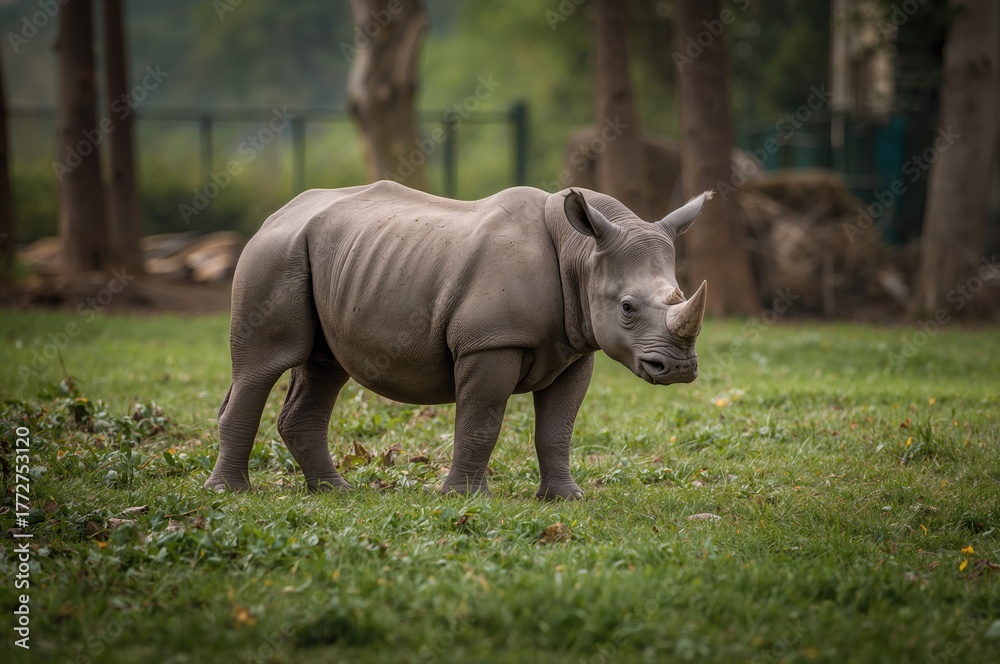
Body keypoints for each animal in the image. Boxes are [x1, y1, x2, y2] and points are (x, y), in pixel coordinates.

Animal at [205, 181, 709, 499]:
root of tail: (276, 214)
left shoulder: (575, 347)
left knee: (325, 368)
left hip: (328, 258)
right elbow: (481, 420)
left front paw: (566, 498)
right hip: (275, 253)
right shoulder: (489, 342)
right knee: (263, 366)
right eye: (626, 308)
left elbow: (557, 429)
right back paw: (232, 492)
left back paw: (336, 491)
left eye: (680, 293)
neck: (581, 253)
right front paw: (466, 498)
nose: (679, 369)